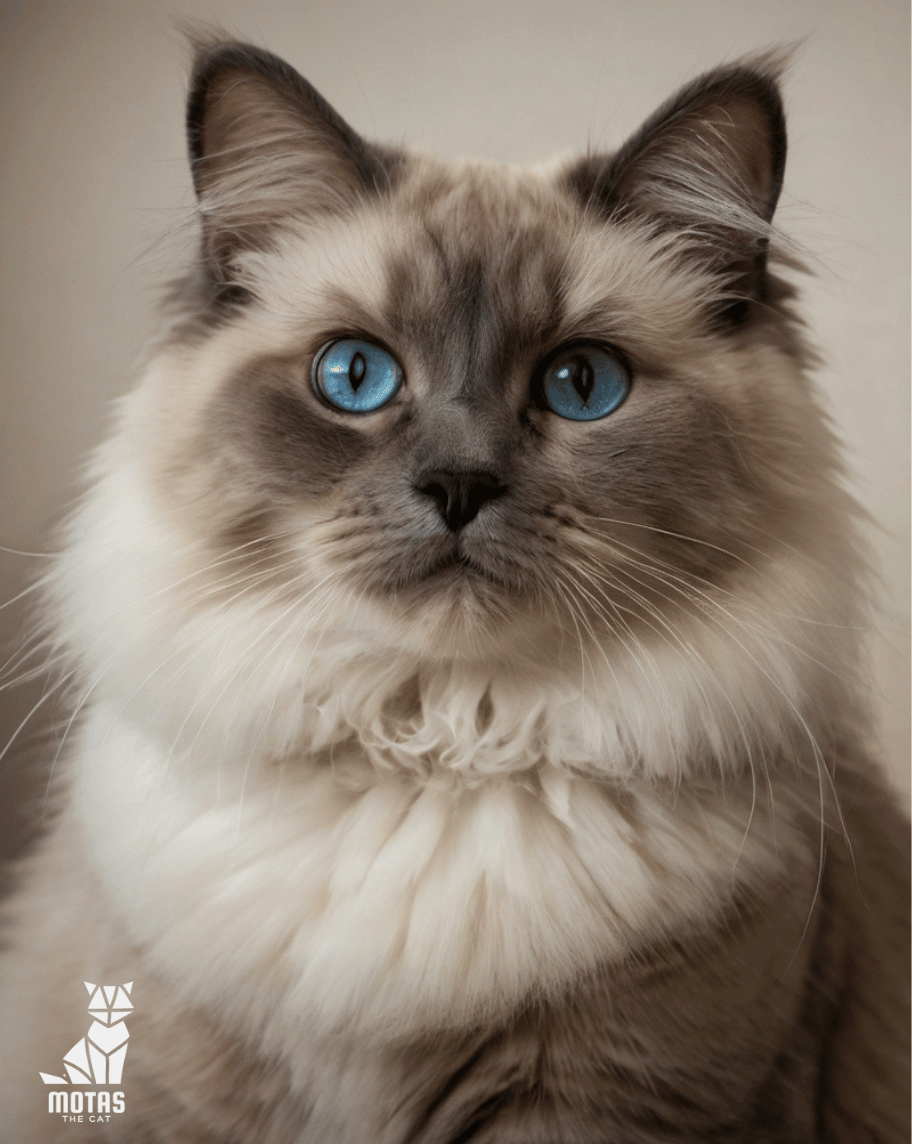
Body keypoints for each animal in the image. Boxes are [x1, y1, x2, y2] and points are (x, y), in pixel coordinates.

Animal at [1, 38, 910, 1144]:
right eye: (354, 376)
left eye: (582, 385)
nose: (460, 485)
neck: (438, 738)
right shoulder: (183, 1100)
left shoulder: (606, 1101)